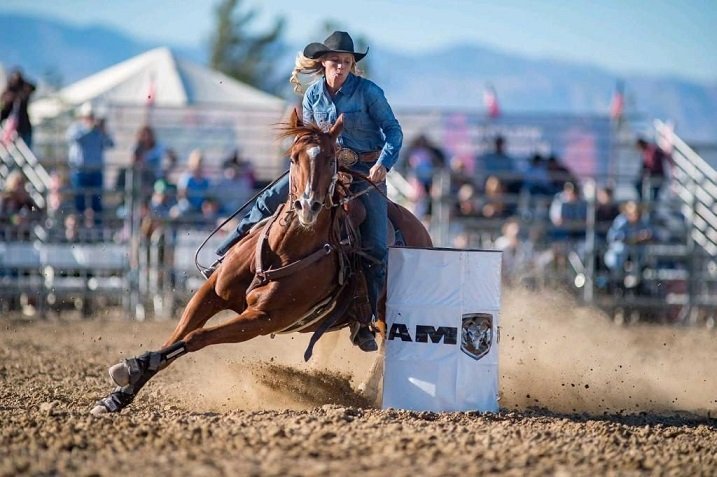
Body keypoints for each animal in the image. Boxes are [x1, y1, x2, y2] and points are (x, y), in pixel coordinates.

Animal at [93, 110, 434, 412]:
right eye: (294, 157)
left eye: (331, 159)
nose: (308, 206)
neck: (285, 249)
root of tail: (421, 229)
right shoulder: (212, 292)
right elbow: (178, 333)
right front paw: (119, 394)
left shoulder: (262, 318)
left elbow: (196, 337)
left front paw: (135, 366)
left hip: (387, 308)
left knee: (387, 345)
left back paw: (365, 389)